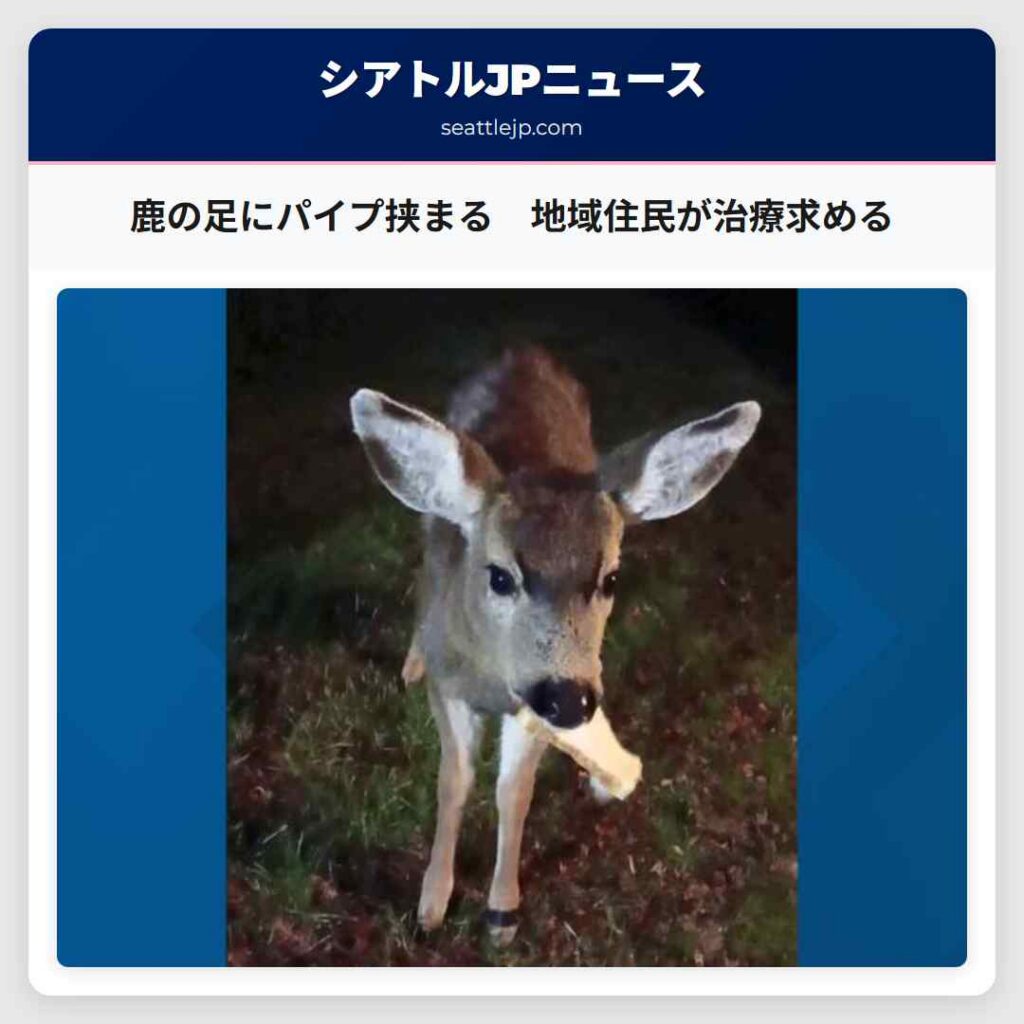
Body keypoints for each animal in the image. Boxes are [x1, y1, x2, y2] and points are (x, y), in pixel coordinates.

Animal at [350, 347, 760, 945]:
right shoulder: (452, 687)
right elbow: (454, 782)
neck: (490, 676)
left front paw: (502, 912)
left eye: (611, 579)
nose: (571, 699)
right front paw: (431, 903)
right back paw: (412, 659)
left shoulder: (530, 706)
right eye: (500, 576)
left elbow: (513, 792)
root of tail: (522, 351)